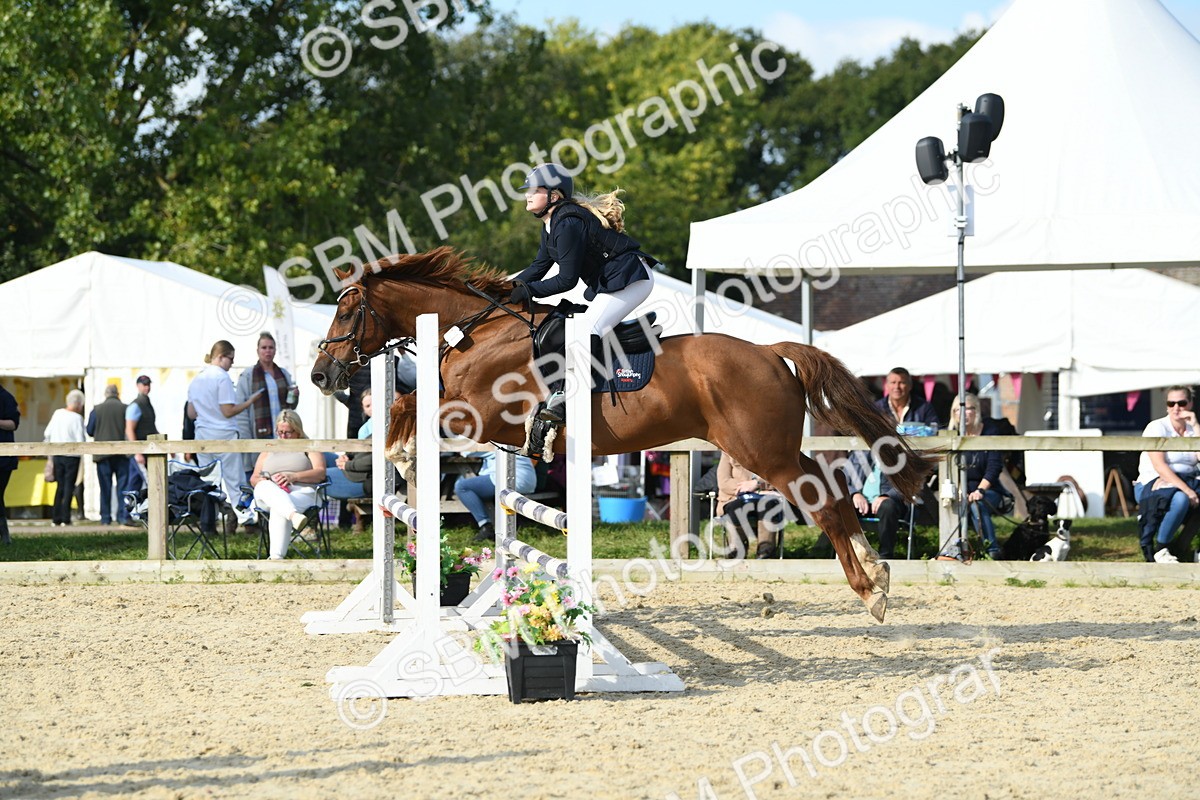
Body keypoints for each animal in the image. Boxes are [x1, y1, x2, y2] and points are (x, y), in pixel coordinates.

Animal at [311, 247, 937, 622]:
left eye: (347, 314)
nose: (321, 375)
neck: (476, 332)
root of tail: (768, 351)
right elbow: (407, 405)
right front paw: (406, 466)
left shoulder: (479, 414)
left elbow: (409, 410)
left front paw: (405, 461)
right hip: (773, 449)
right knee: (831, 490)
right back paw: (876, 575)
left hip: (764, 453)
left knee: (822, 500)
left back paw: (871, 589)